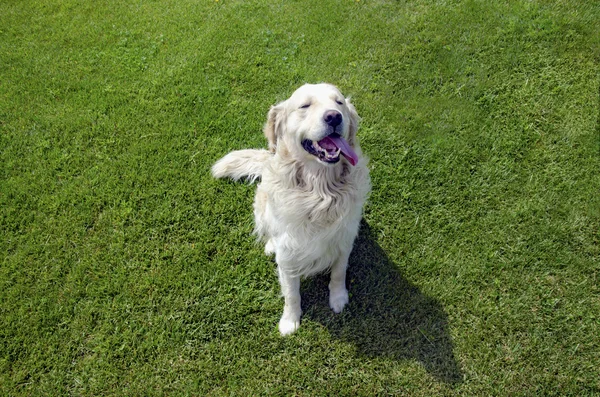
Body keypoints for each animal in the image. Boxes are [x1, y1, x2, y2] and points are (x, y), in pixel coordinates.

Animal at [211, 83, 370, 334]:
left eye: (339, 103)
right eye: (305, 105)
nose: (334, 117)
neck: (319, 193)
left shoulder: (343, 240)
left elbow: (338, 272)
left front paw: (338, 298)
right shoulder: (288, 252)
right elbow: (291, 292)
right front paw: (290, 320)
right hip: (261, 204)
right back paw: (269, 246)